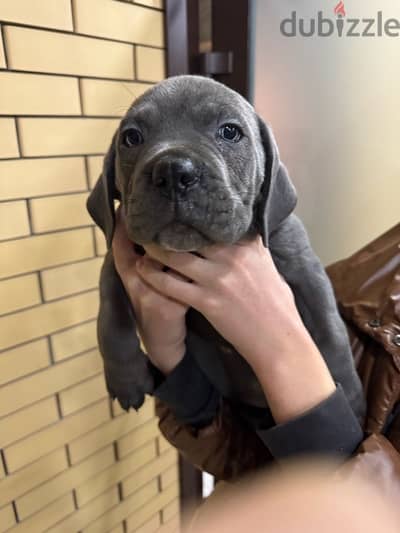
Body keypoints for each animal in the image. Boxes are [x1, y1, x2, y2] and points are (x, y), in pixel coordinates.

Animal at [86, 76, 366, 424]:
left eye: (230, 132)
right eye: (131, 137)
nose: (173, 170)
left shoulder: (306, 270)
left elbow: (332, 331)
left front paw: (352, 398)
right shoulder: (116, 262)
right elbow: (111, 321)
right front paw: (126, 381)